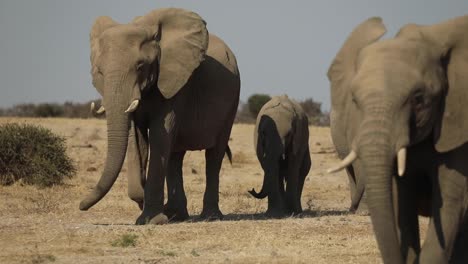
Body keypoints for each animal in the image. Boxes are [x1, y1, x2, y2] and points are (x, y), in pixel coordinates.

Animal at [79, 8, 239, 225]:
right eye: (100, 72)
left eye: (140, 66)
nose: (81, 206)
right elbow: (136, 138)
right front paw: (143, 201)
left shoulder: (175, 84)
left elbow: (159, 136)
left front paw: (151, 219)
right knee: (175, 156)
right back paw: (176, 214)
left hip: (232, 102)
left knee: (214, 154)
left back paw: (210, 216)